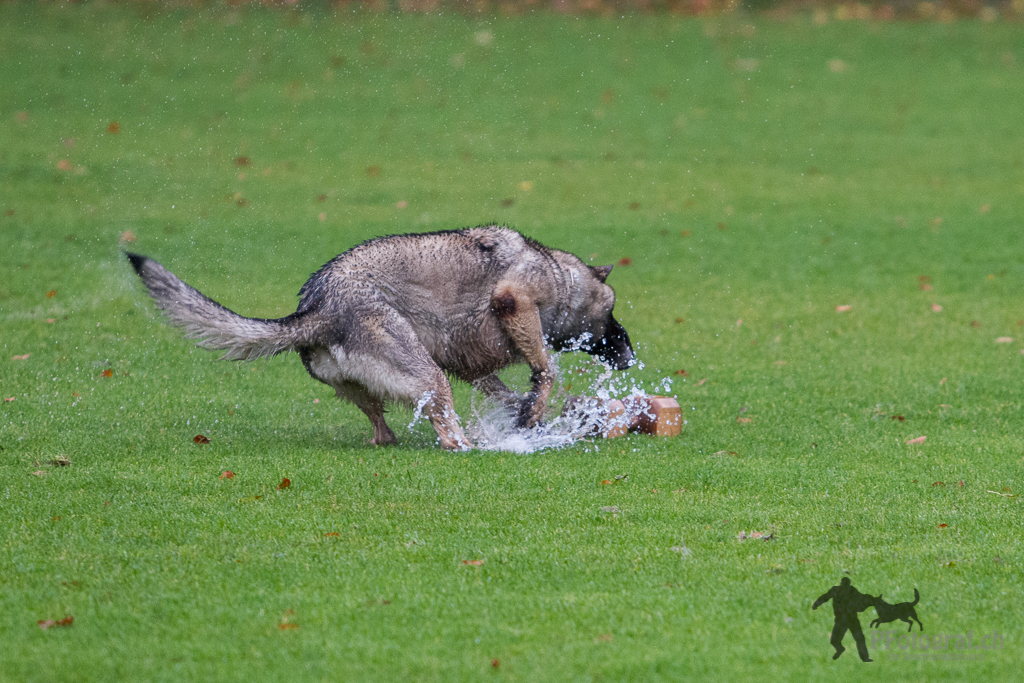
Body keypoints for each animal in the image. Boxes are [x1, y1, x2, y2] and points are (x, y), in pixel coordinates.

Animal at [125, 224, 630, 448]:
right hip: (428, 377)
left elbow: (511, 392)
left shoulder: (467, 364)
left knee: (382, 429)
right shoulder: (514, 301)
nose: (629, 354)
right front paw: (536, 411)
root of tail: (315, 309)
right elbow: (546, 369)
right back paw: (474, 446)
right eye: (611, 312)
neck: (560, 276)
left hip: (375, 384)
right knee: (448, 433)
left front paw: (529, 416)